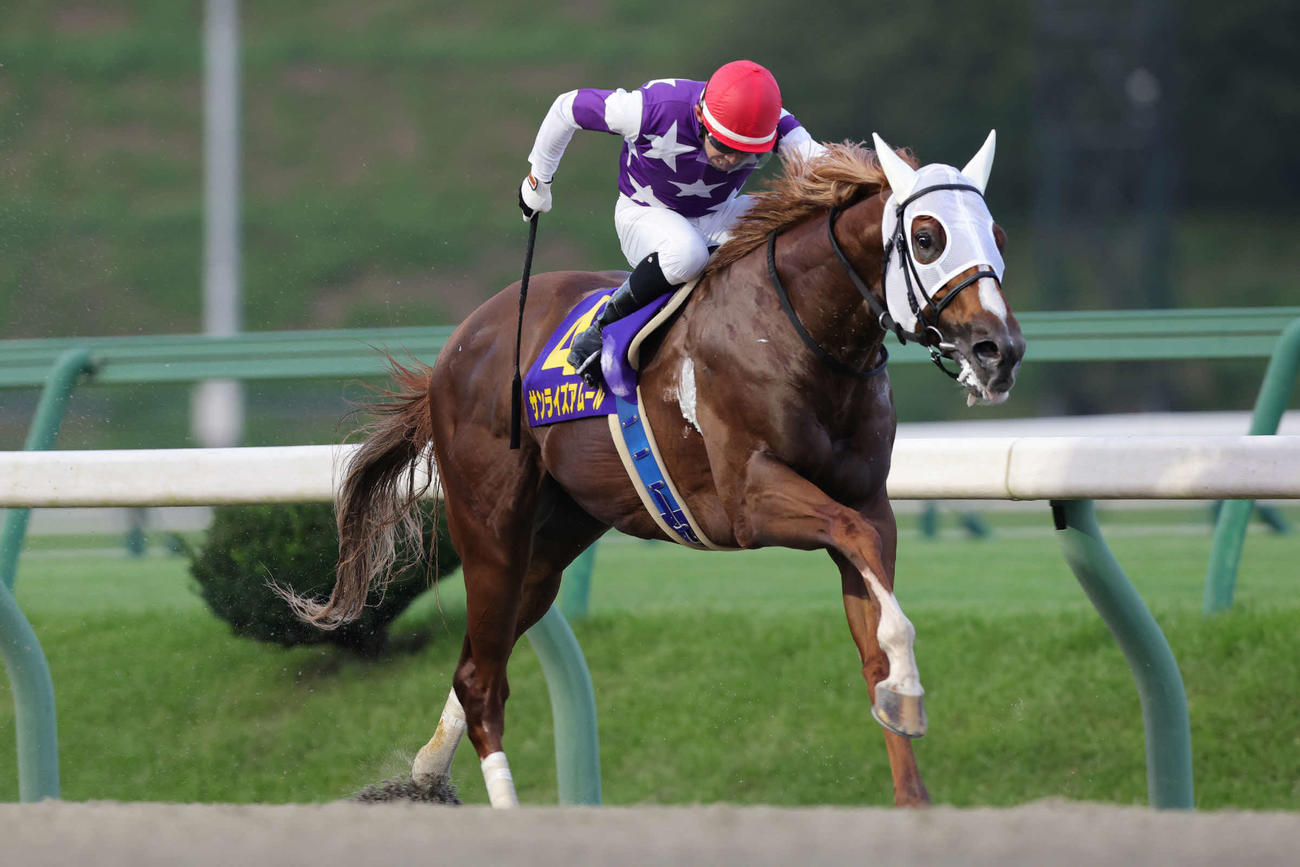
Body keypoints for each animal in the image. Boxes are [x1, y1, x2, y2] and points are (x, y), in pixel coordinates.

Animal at [281, 133, 1025, 808]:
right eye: (926, 237)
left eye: (997, 233)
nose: (1000, 349)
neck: (798, 332)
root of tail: (460, 343)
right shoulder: (749, 501)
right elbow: (858, 551)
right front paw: (907, 687)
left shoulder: (868, 502)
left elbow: (872, 621)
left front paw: (907, 754)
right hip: (491, 527)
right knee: (483, 682)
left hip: (554, 540)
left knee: (474, 663)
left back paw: (426, 774)